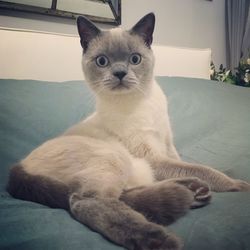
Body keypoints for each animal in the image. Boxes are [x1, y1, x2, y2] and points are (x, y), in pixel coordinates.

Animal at [6, 13, 250, 250]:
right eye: (102, 61)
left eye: (135, 59)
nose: (120, 73)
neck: (139, 102)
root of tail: (17, 166)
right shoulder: (152, 157)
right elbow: (205, 170)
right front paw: (239, 184)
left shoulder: (167, 144)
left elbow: (190, 165)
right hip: (114, 158)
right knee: (86, 201)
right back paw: (158, 238)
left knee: (126, 194)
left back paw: (194, 191)